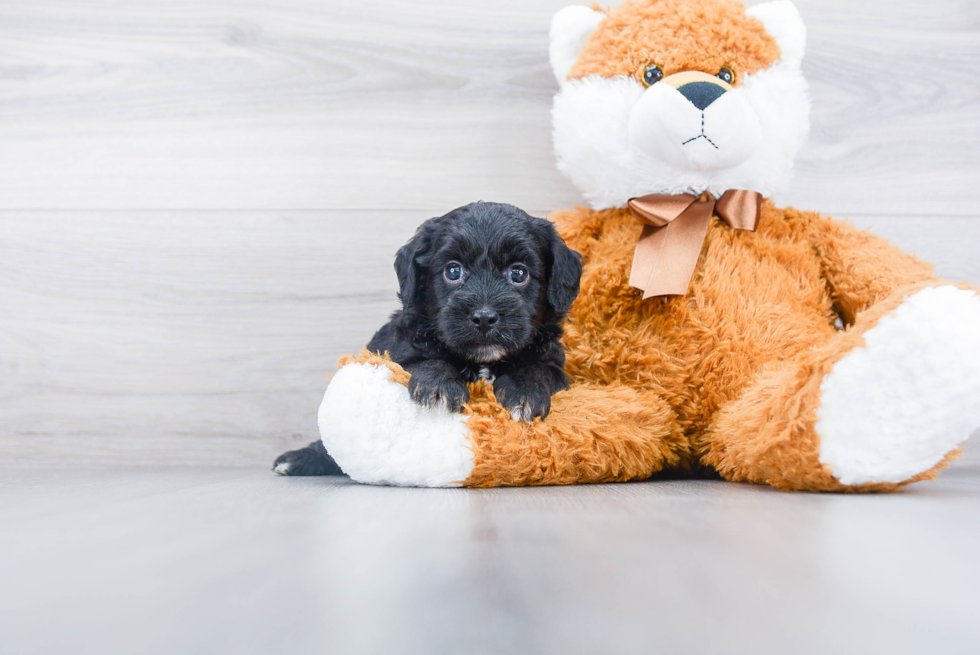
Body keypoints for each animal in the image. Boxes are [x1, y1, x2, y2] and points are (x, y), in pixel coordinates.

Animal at [274, 201, 580, 476]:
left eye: (518, 273)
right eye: (453, 271)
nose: (484, 317)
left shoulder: (556, 365)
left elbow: (538, 368)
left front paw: (525, 392)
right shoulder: (399, 354)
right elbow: (427, 361)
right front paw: (440, 387)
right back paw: (298, 459)